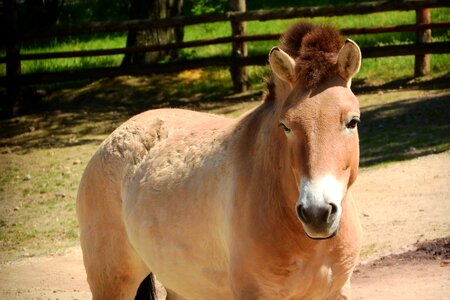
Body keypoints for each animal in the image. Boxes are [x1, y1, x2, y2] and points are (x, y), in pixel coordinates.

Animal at [77, 22, 364, 298]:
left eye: (352, 121)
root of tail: (112, 137)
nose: (317, 213)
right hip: (112, 284)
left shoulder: (339, 291)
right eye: (286, 126)